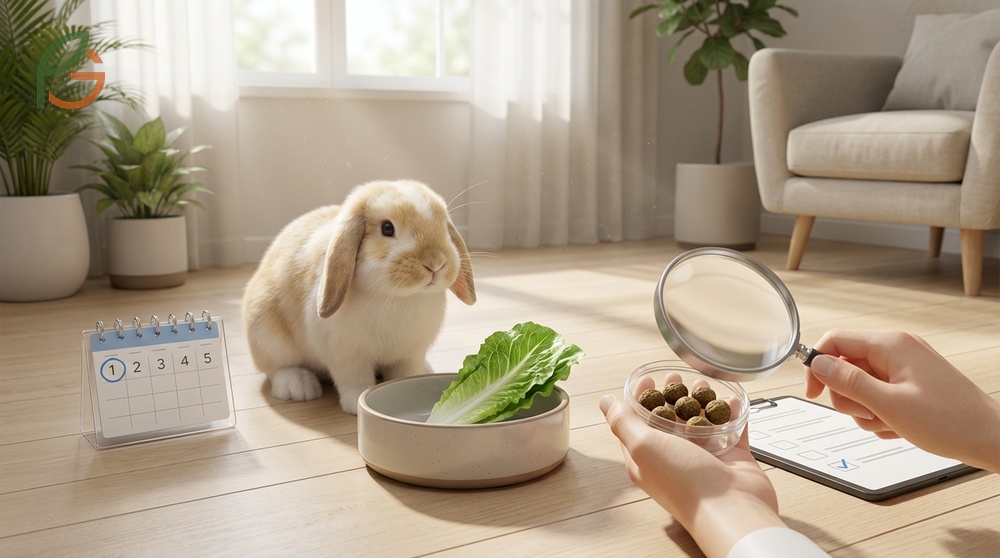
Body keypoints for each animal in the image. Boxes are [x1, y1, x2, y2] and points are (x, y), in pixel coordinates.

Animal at [242, 180, 476, 414]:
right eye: (387, 228)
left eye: (444, 227)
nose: (435, 263)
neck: (398, 297)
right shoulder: (348, 357)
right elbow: (355, 380)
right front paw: (356, 404)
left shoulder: (409, 355)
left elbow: (404, 374)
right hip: (267, 336)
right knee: (276, 367)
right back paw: (298, 386)